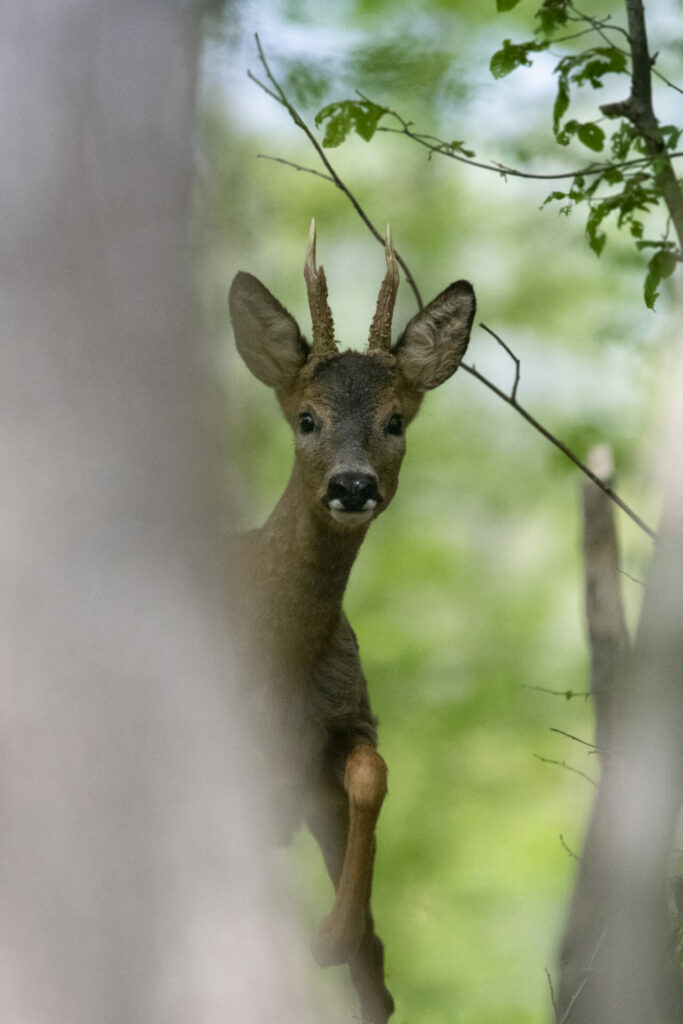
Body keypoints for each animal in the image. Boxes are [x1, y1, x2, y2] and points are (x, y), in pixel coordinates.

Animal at [229, 226, 475, 1024]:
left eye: (394, 419)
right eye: (306, 418)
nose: (352, 485)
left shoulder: (345, 724)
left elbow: (373, 772)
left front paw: (332, 937)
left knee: (380, 987)